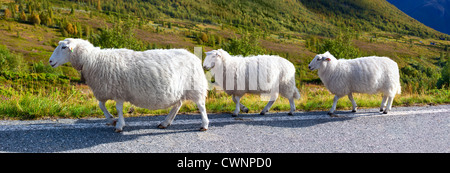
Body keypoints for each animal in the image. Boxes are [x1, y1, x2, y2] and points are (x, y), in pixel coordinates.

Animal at [48, 38, 210, 132]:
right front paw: (111, 119)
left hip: (196, 86)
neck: (92, 60)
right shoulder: (106, 89)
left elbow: (118, 108)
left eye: (64, 47)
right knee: (177, 105)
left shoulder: (118, 91)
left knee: (201, 106)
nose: (50, 61)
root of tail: (193, 56)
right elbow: (101, 105)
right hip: (178, 91)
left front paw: (119, 125)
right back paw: (165, 122)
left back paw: (204, 125)